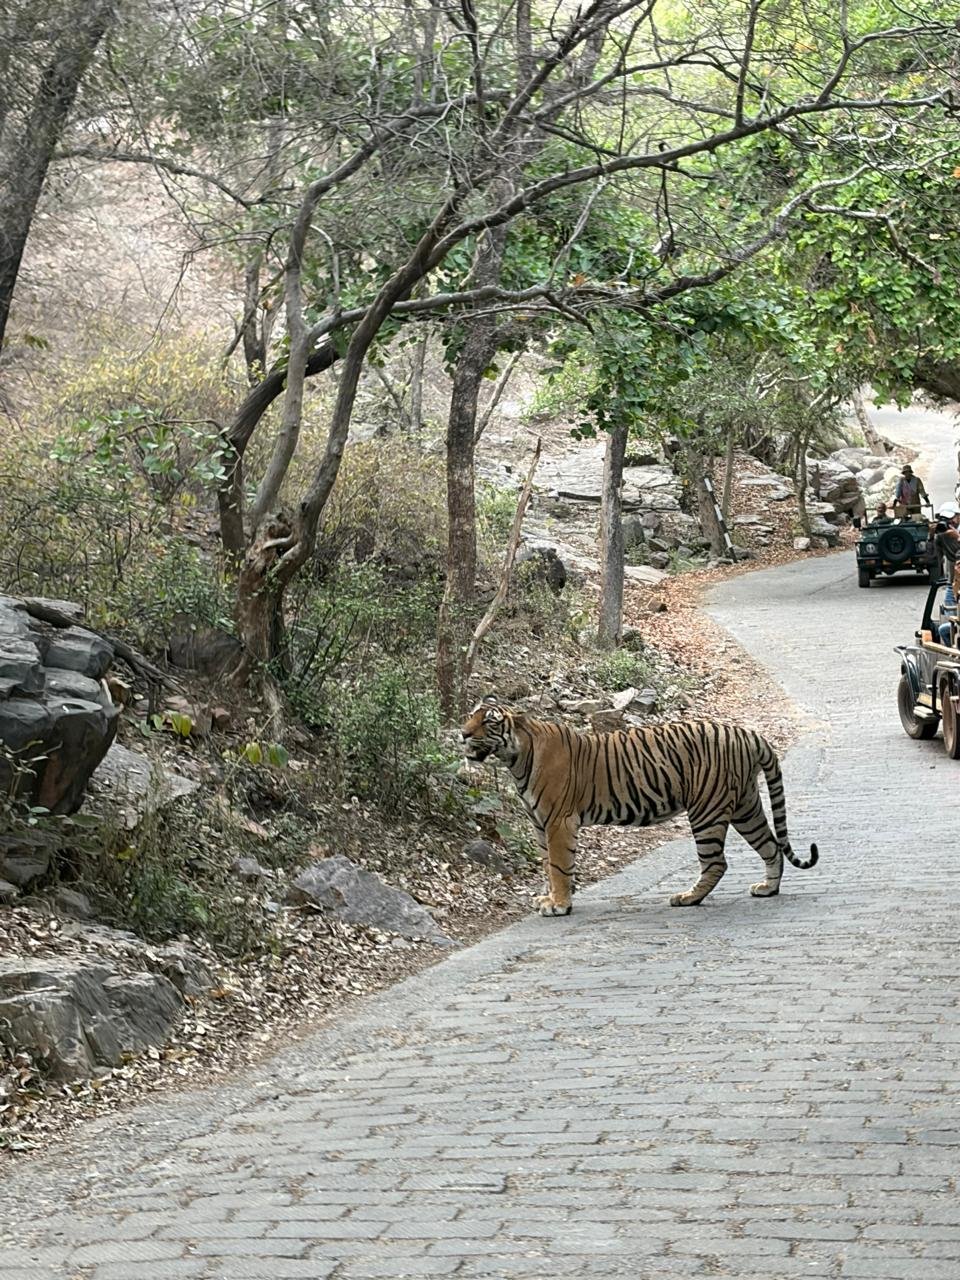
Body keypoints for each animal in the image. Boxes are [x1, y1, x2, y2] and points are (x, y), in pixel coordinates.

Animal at [460, 699, 818, 916]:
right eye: (470, 716)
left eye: (489, 722)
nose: (462, 734)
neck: (516, 759)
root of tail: (748, 733)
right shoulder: (539, 823)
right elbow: (549, 865)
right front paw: (552, 898)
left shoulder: (558, 822)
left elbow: (559, 866)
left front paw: (560, 904)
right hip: (745, 805)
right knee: (771, 846)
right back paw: (767, 889)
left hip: (707, 810)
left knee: (717, 862)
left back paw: (688, 898)